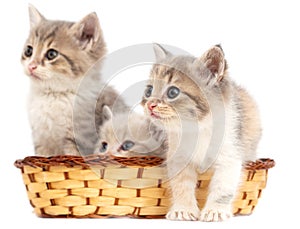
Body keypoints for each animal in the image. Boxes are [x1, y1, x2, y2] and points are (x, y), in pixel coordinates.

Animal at [21, 4, 126, 156]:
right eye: (29, 51)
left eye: (51, 54)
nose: (31, 66)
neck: (53, 95)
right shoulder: (41, 141)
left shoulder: (79, 142)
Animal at [142, 43, 262, 221]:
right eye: (149, 91)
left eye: (173, 92)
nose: (150, 105)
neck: (197, 129)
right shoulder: (178, 157)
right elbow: (181, 185)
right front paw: (183, 209)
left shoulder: (230, 155)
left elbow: (223, 187)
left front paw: (215, 211)